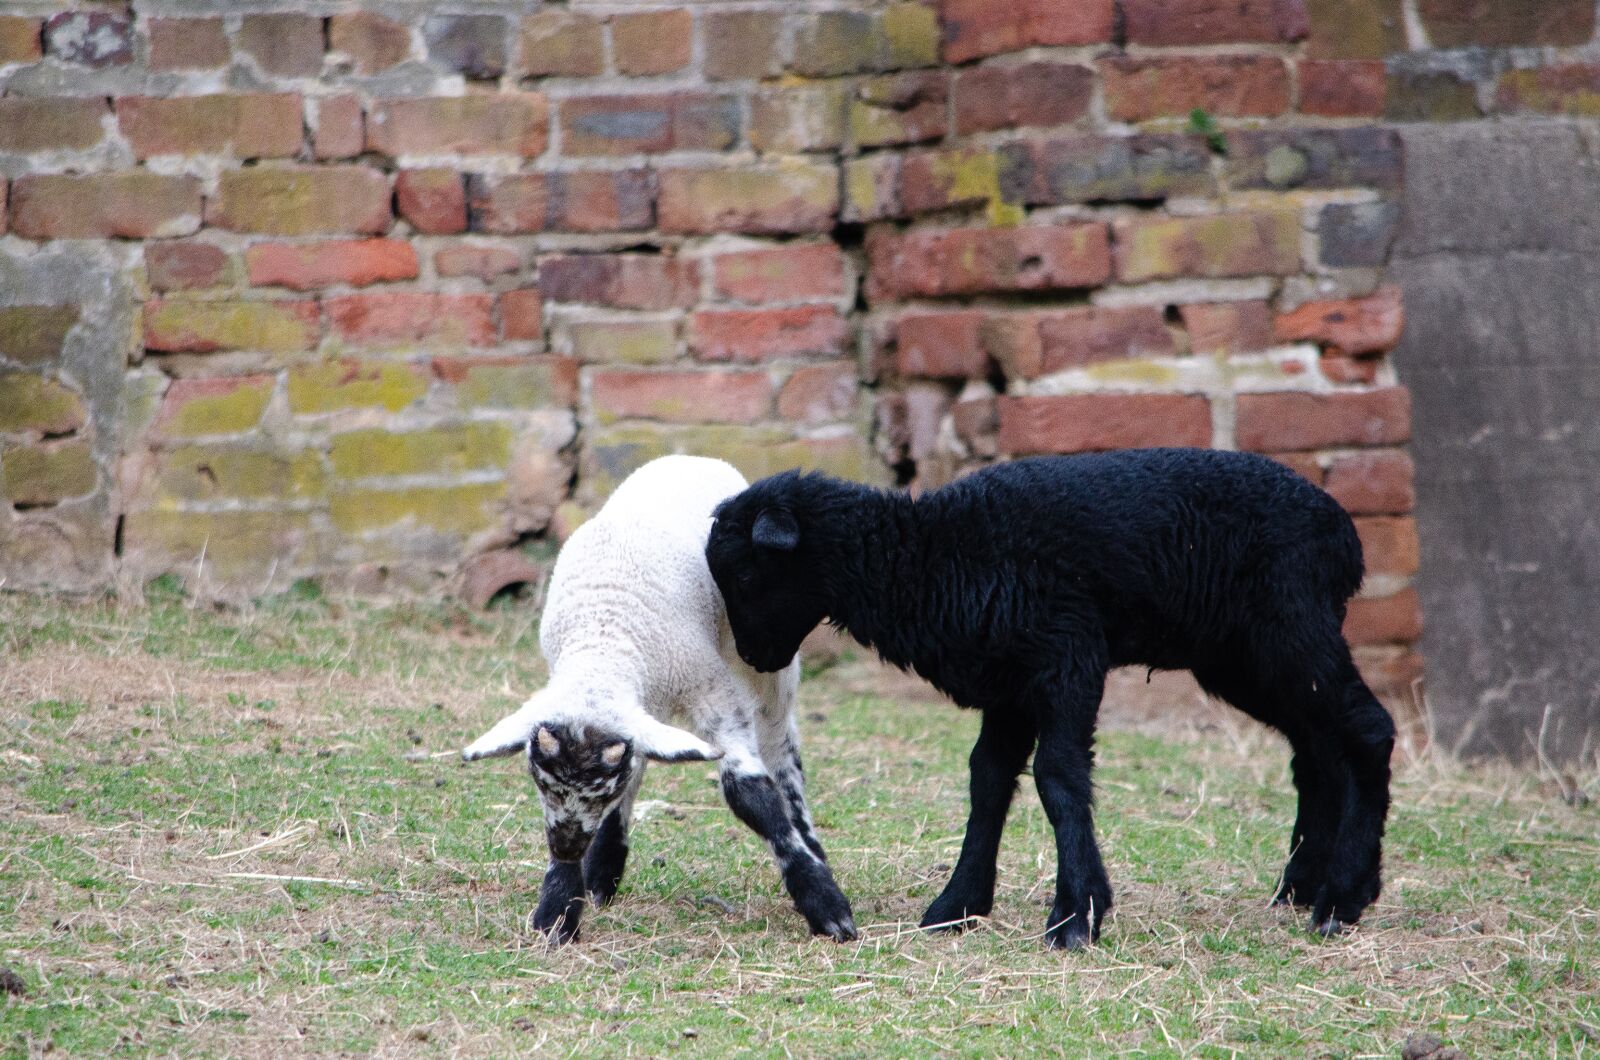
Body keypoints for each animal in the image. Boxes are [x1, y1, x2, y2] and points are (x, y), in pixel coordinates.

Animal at [462, 455, 856, 944]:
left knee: (780, 743)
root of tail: (689, 457)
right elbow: (632, 769)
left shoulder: (711, 688)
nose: (567, 846)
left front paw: (824, 902)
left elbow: (752, 795)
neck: (606, 636)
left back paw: (809, 837)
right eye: (539, 780)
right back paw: (602, 869)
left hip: (765, 658)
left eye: (601, 789)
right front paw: (560, 905)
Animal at [705, 447, 1396, 949]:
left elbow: (1058, 777)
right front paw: (956, 907)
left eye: (746, 572)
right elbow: (987, 779)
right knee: (1317, 750)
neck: (929, 556)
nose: (754, 657)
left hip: (1290, 627)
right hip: (1244, 657)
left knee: (1368, 729)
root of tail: (1345, 536)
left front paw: (1074, 917)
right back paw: (1304, 887)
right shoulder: (1009, 681)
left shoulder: (1068, 657)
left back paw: (1343, 899)